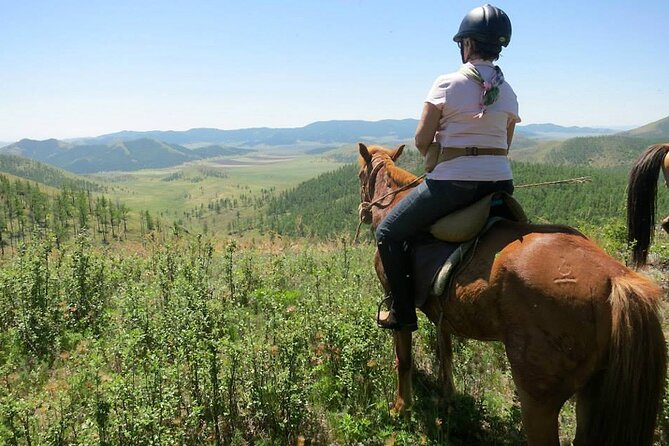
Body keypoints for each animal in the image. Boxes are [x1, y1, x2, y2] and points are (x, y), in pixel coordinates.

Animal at [357, 143, 666, 445]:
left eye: (360, 175)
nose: (363, 211)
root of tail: (615, 278)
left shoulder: (397, 298)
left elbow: (404, 359)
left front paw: (401, 407)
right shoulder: (442, 313)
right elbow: (446, 353)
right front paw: (448, 396)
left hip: (538, 398)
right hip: (592, 393)